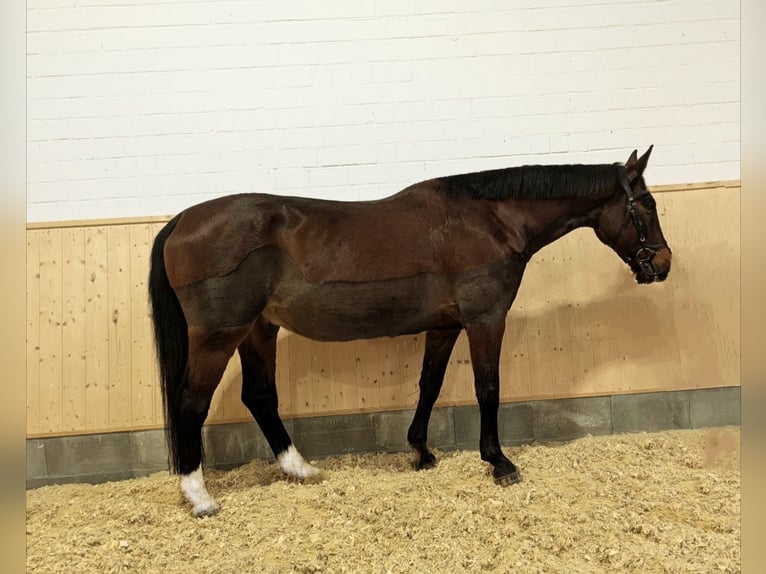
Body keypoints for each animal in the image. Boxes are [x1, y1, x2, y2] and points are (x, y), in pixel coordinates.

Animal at [148, 147, 672, 516]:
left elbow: (430, 385)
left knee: (259, 395)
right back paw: (199, 496)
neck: (490, 220)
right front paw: (499, 462)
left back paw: (300, 468)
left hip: (259, 330)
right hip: (220, 335)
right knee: (193, 402)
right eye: (645, 205)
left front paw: (421, 450)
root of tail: (182, 221)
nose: (664, 263)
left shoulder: (443, 327)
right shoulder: (485, 320)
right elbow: (488, 389)